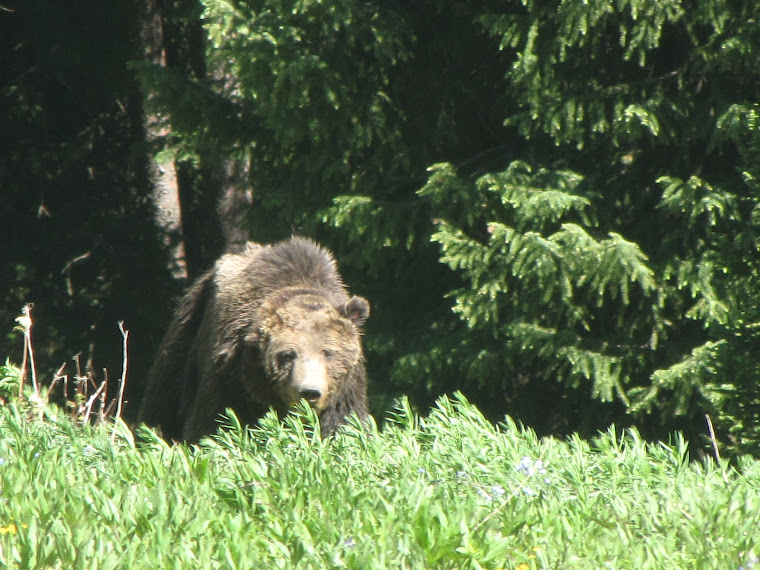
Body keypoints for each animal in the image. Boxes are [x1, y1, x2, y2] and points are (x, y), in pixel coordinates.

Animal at [141, 235, 372, 440]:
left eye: (327, 352)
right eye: (288, 354)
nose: (309, 392)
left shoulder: (347, 389)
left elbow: (345, 425)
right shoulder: (229, 371)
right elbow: (214, 422)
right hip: (189, 330)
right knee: (165, 395)